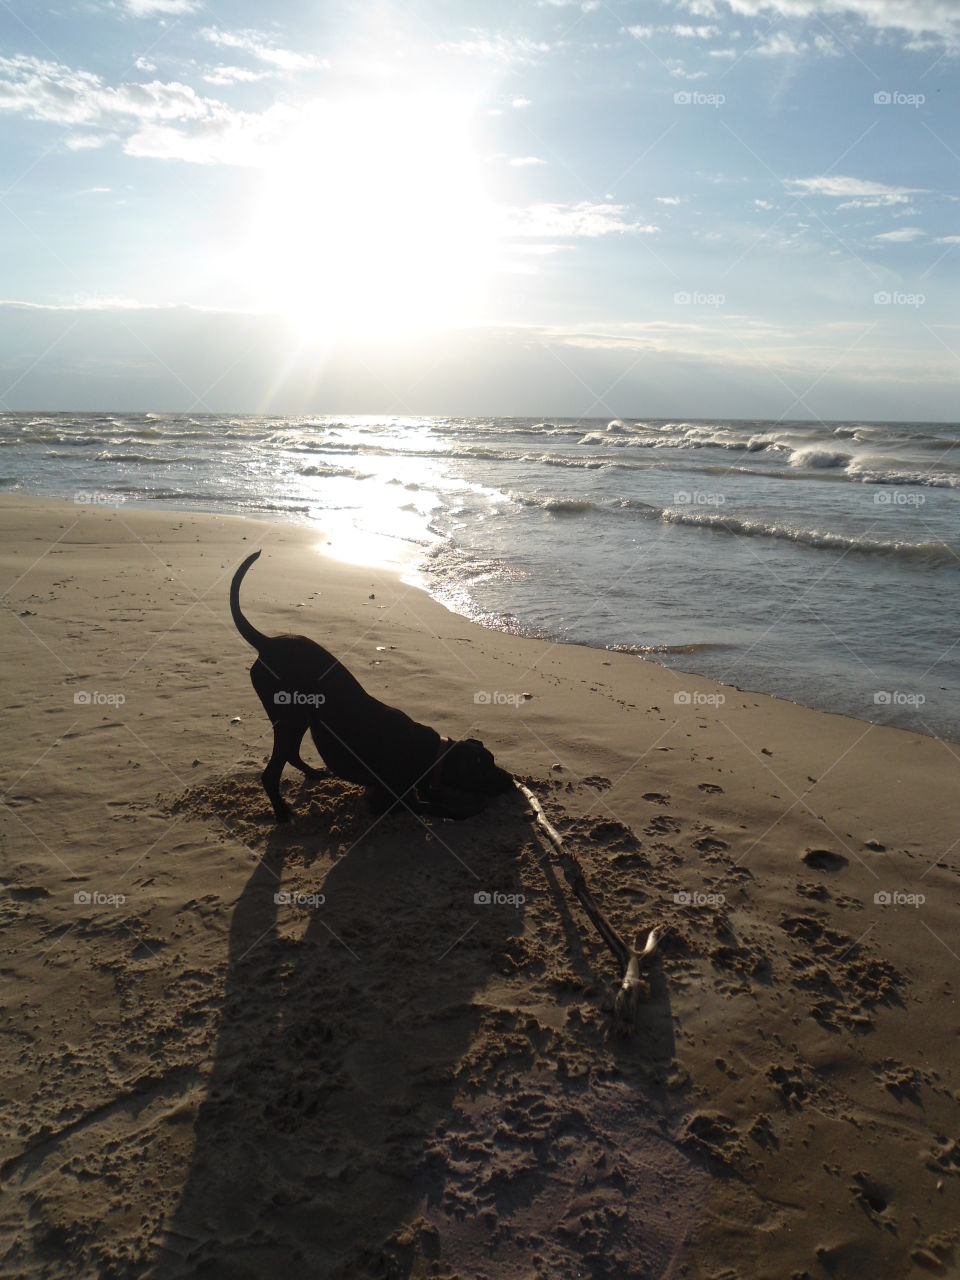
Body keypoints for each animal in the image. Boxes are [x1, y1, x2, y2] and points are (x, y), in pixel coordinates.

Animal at [230, 547, 514, 824]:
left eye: (493, 761)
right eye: (486, 769)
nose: (510, 779)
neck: (429, 752)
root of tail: (267, 643)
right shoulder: (385, 802)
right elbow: (437, 807)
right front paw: (468, 810)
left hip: (298, 718)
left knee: (291, 753)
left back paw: (312, 774)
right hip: (288, 717)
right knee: (271, 772)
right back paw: (281, 811)